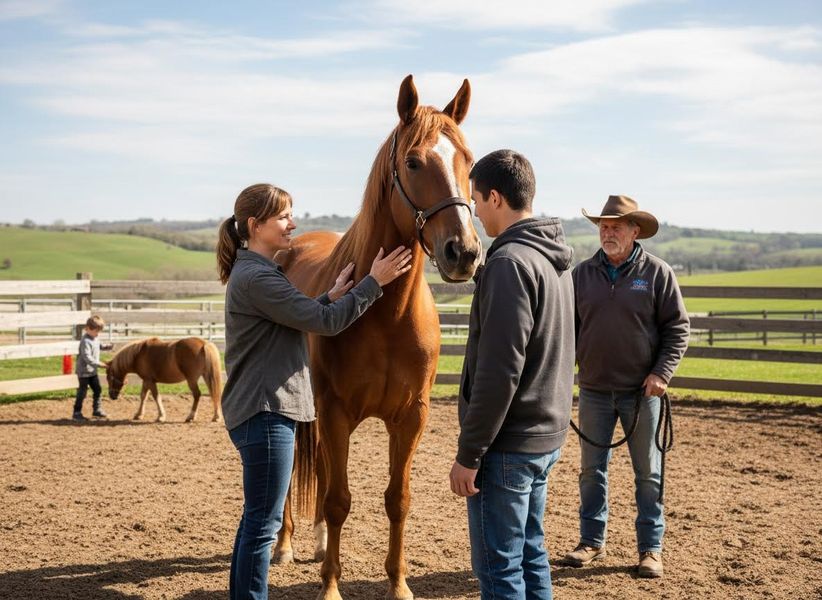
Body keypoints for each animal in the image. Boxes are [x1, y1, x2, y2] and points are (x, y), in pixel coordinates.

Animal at [275, 75, 481, 600]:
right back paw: (284, 545)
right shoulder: (336, 413)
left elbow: (397, 499)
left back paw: (318, 545)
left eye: (469, 161)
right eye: (413, 162)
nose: (464, 252)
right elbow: (338, 500)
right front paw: (330, 587)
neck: (387, 319)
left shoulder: (410, 417)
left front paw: (399, 584)